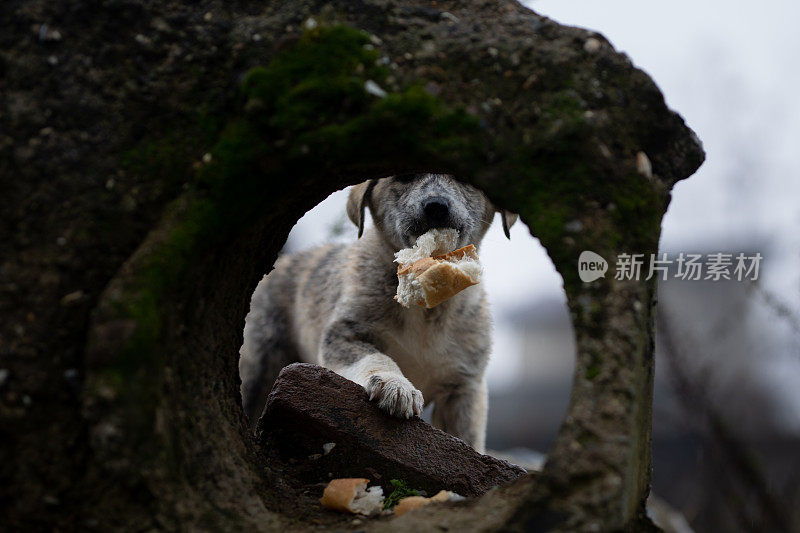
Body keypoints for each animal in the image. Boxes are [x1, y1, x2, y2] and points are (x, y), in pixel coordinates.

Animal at [238, 174, 516, 448]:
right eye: (404, 176)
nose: (436, 206)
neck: (425, 311)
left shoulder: (464, 386)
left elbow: (467, 439)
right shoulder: (345, 334)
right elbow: (376, 357)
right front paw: (395, 385)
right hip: (258, 363)